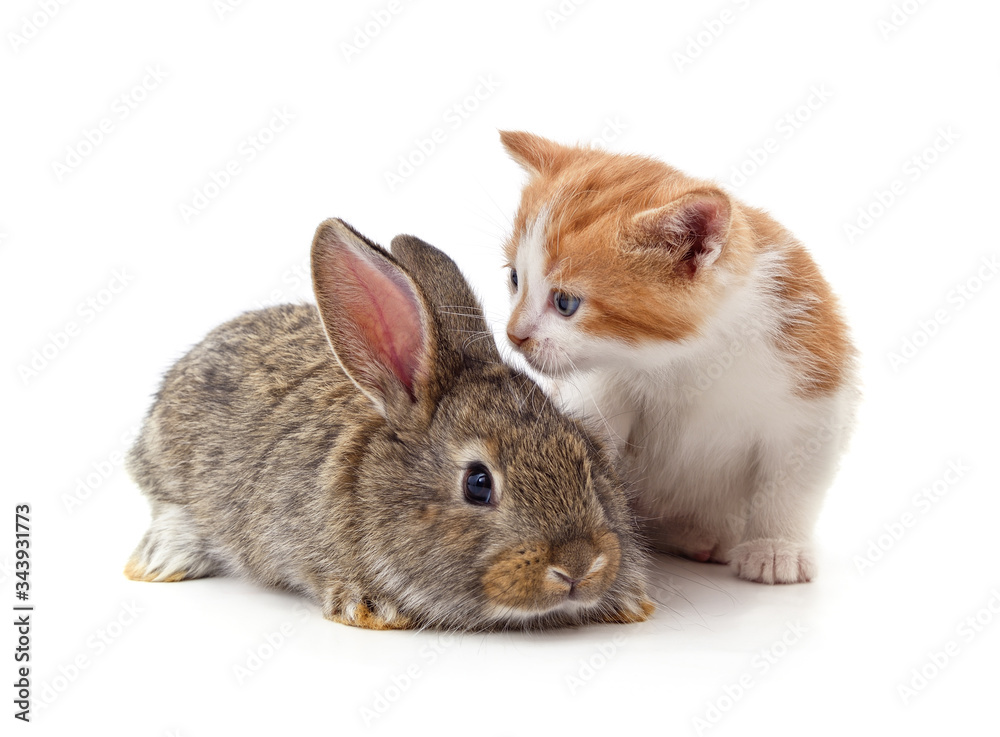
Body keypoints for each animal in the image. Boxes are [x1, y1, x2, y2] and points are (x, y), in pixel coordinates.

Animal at [124, 218, 653, 631]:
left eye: (588, 457)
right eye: (478, 483)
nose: (578, 565)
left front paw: (627, 600)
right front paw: (371, 606)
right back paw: (160, 559)